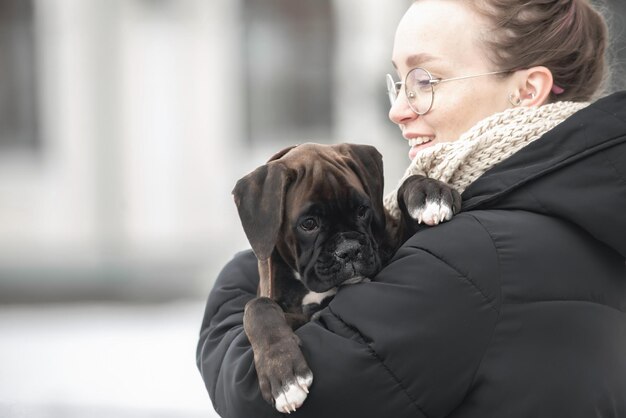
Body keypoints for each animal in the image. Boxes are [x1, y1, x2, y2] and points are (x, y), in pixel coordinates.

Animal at [232, 143, 460, 412]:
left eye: (362, 210)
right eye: (308, 224)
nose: (349, 249)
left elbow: (407, 186)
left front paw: (429, 193)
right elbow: (257, 307)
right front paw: (284, 375)